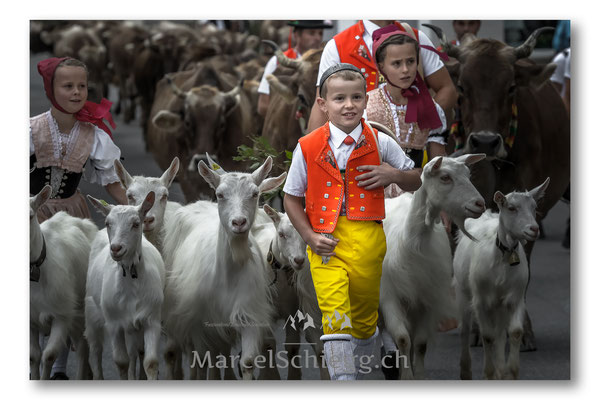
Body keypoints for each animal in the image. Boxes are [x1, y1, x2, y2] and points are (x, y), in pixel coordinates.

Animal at [30, 186, 98, 380]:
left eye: (30, 216)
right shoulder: (31, 320)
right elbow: (33, 357)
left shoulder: (61, 314)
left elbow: (49, 355)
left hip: (80, 313)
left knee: (83, 348)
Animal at [84, 192, 164, 380]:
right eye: (108, 223)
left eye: (136, 223)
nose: (116, 248)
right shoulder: (114, 323)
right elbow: (121, 362)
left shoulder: (151, 319)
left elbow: (150, 362)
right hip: (91, 311)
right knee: (96, 349)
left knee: (136, 351)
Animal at [163, 156, 288, 378]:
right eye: (220, 194)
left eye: (255, 194)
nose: (238, 222)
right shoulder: (202, 321)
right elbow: (207, 360)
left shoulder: (248, 313)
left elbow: (247, 362)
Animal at [380, 155, 488, 380]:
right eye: (445, 177)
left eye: (468, 174)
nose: (480, 204)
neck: (411, 243)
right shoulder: (389, 296)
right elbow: (403, 339)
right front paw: (406, 376)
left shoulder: (426, 299)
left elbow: (420, 344)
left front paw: (418, 376)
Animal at [454, 177, 548, 378]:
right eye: (511, 208)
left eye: (534, 207)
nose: (534, 229)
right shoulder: (481, 300)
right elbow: (487, 335)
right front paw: (489, 373)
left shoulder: (515, 298)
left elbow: (514, 332)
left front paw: (509, 372)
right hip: (463, 292)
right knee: (466, 330)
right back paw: (466, 372)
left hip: (499, 305)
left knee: (499, 333)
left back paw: (500, 370)